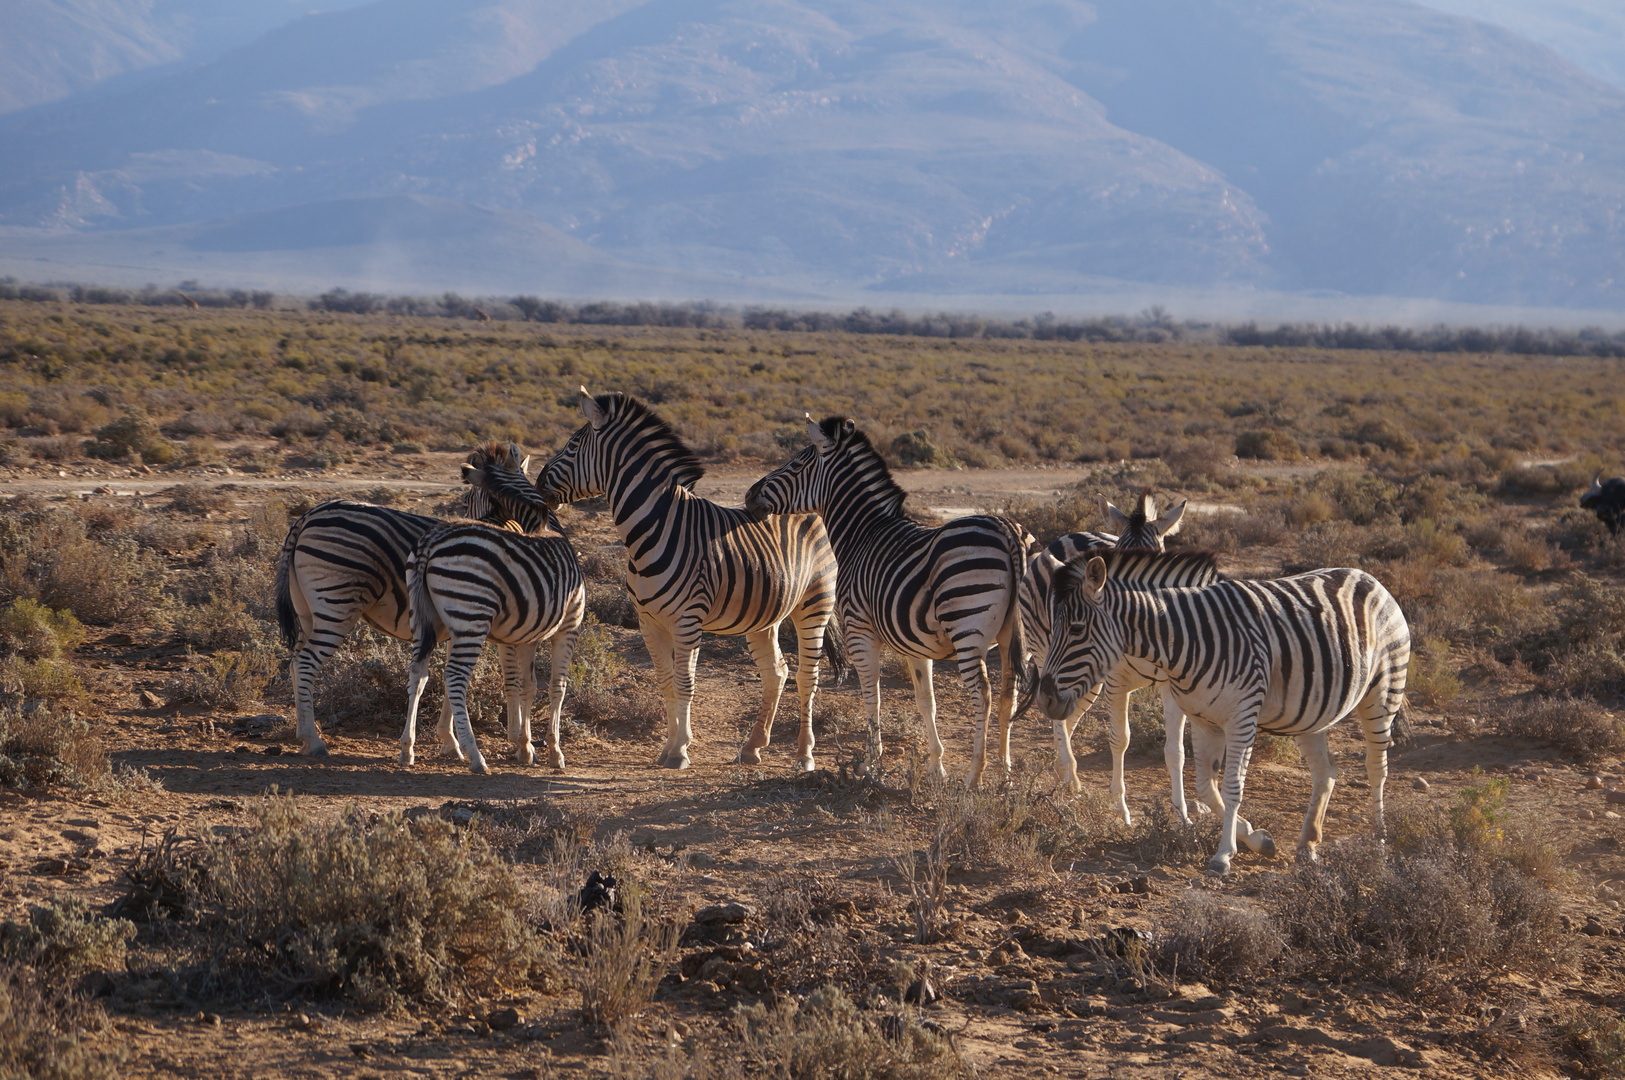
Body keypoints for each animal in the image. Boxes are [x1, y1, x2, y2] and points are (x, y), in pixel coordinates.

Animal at [277, 441, 552, 753]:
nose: (544, 520)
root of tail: (306, 517)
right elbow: (512, 678)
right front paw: (519, 741)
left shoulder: (460, 621)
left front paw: (450, 740)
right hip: (337, 605)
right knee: (305, 663)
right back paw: (314, 740)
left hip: (307, 610)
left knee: (295, 663)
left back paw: (303, 735)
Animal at [403, 451, 588, 769]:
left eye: (467, 500)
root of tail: (431, 540)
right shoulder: (569, 626)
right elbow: (557, 686)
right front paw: (553, 750)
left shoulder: (527, 634)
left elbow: (527, 685)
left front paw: (525, 746)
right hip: (472, 616)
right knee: (454, 678)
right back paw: (475, 755)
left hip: (427, 619)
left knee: (418, 672)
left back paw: (408, 748)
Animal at [536, 391, 838, 769]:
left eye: (573, 445)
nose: (537, 483)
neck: (655, 529)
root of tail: (814, 507)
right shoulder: (648, 621)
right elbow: (666, 682)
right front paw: (668, 747)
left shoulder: (687, 620)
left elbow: (685, 683)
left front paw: (680, 750)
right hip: (765, 615)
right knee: (777, 673)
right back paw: (753, 746)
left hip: (815, 604)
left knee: (807, 677)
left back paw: (804, 754)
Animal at [744, 414, 1027, 782]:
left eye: (794, 465)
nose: (749, 495)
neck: (861, 534)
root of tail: (1006, 530)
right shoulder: (917, 646)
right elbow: (926, 700)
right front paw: (936, 766)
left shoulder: (859, 630)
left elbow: (871, 695)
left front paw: (870, 762)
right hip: (1013, 633)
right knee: (1009, 694)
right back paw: (1005, 773)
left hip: (968, 626)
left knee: (983, 694)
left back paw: (974, 776)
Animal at [1040, 548, 1410, 876]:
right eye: (1053, 628)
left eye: (1076, 629)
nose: (1044, 698)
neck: (1184, 639)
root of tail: (1367, 576)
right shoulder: (1202, 718)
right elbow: (1204, 785)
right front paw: (1255, 839)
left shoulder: (1241, 717)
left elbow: (1230, 785)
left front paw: (1222, 855)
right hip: (1311, 714)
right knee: (1326, 772)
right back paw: (1307, 844)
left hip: (1383, 692)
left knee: (1377, 769)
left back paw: (1379, 842)